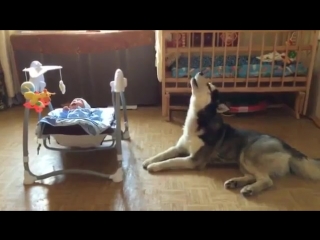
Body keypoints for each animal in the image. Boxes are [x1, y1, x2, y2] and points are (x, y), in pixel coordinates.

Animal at [143, 72, 320, 196]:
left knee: (266, 180)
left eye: (209, 87)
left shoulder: (194, 160)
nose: (201, 71)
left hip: (248, 155)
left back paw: (250, 189)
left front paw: (154, 166)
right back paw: (236, 182)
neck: (200, 118)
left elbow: (171, 161)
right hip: (242, 161)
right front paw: (149, 160)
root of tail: (287, 146)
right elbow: (165, 153)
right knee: (253, 176)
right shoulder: (179, 147)